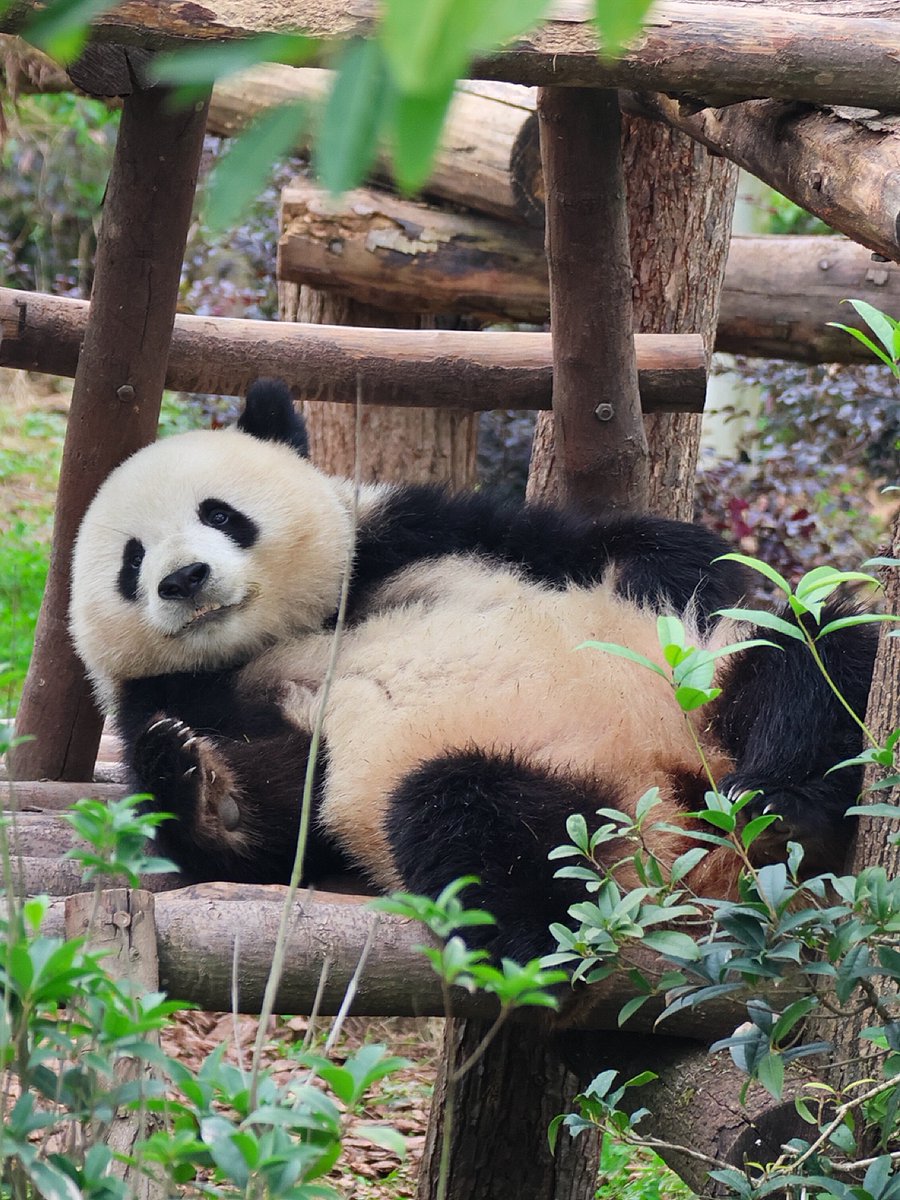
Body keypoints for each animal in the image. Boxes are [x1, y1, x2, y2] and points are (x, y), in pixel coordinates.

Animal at [69, 380, 877, 965]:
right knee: (462, 813)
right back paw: (543, 937)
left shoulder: (411, 538)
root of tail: (682, 824)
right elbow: (274, 824)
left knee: (815, 661)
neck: (294, 629)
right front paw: (195, 778)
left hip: (707, 704)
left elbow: (608, 549)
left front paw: (673, 570)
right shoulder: (195, 697)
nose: (184, 578)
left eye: (220, 514)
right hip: (528, 796)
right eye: (132, 560)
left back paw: (788, 803)